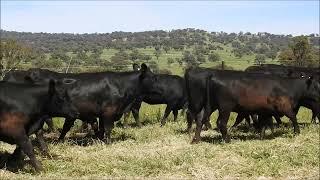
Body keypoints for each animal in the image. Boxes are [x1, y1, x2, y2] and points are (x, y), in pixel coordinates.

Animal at [186, 68, 320, 143]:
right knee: (221, 123)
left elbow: (265, 123)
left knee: (200, 119)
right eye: (315, 86)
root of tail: (213, 75)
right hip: (225, 107)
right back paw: (227, 139)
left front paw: (262, 136)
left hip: (210, 105)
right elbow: (293, 118)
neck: (288, 86)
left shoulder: (266, 111)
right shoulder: (285, 107)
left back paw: (196, 140)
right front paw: (297, 132)